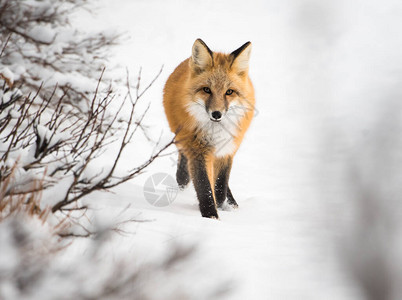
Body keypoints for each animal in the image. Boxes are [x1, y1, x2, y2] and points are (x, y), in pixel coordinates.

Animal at [163, 39, 254, 218]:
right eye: (206, 89)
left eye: (229, 92)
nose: (217, 114)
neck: (216, 130)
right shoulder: (198, 150)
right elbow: (205, 186)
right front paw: (211, 216)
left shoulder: (227, 150)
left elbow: (220, 185)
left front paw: (220, 206)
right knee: (183, 157)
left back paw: (232, 204)